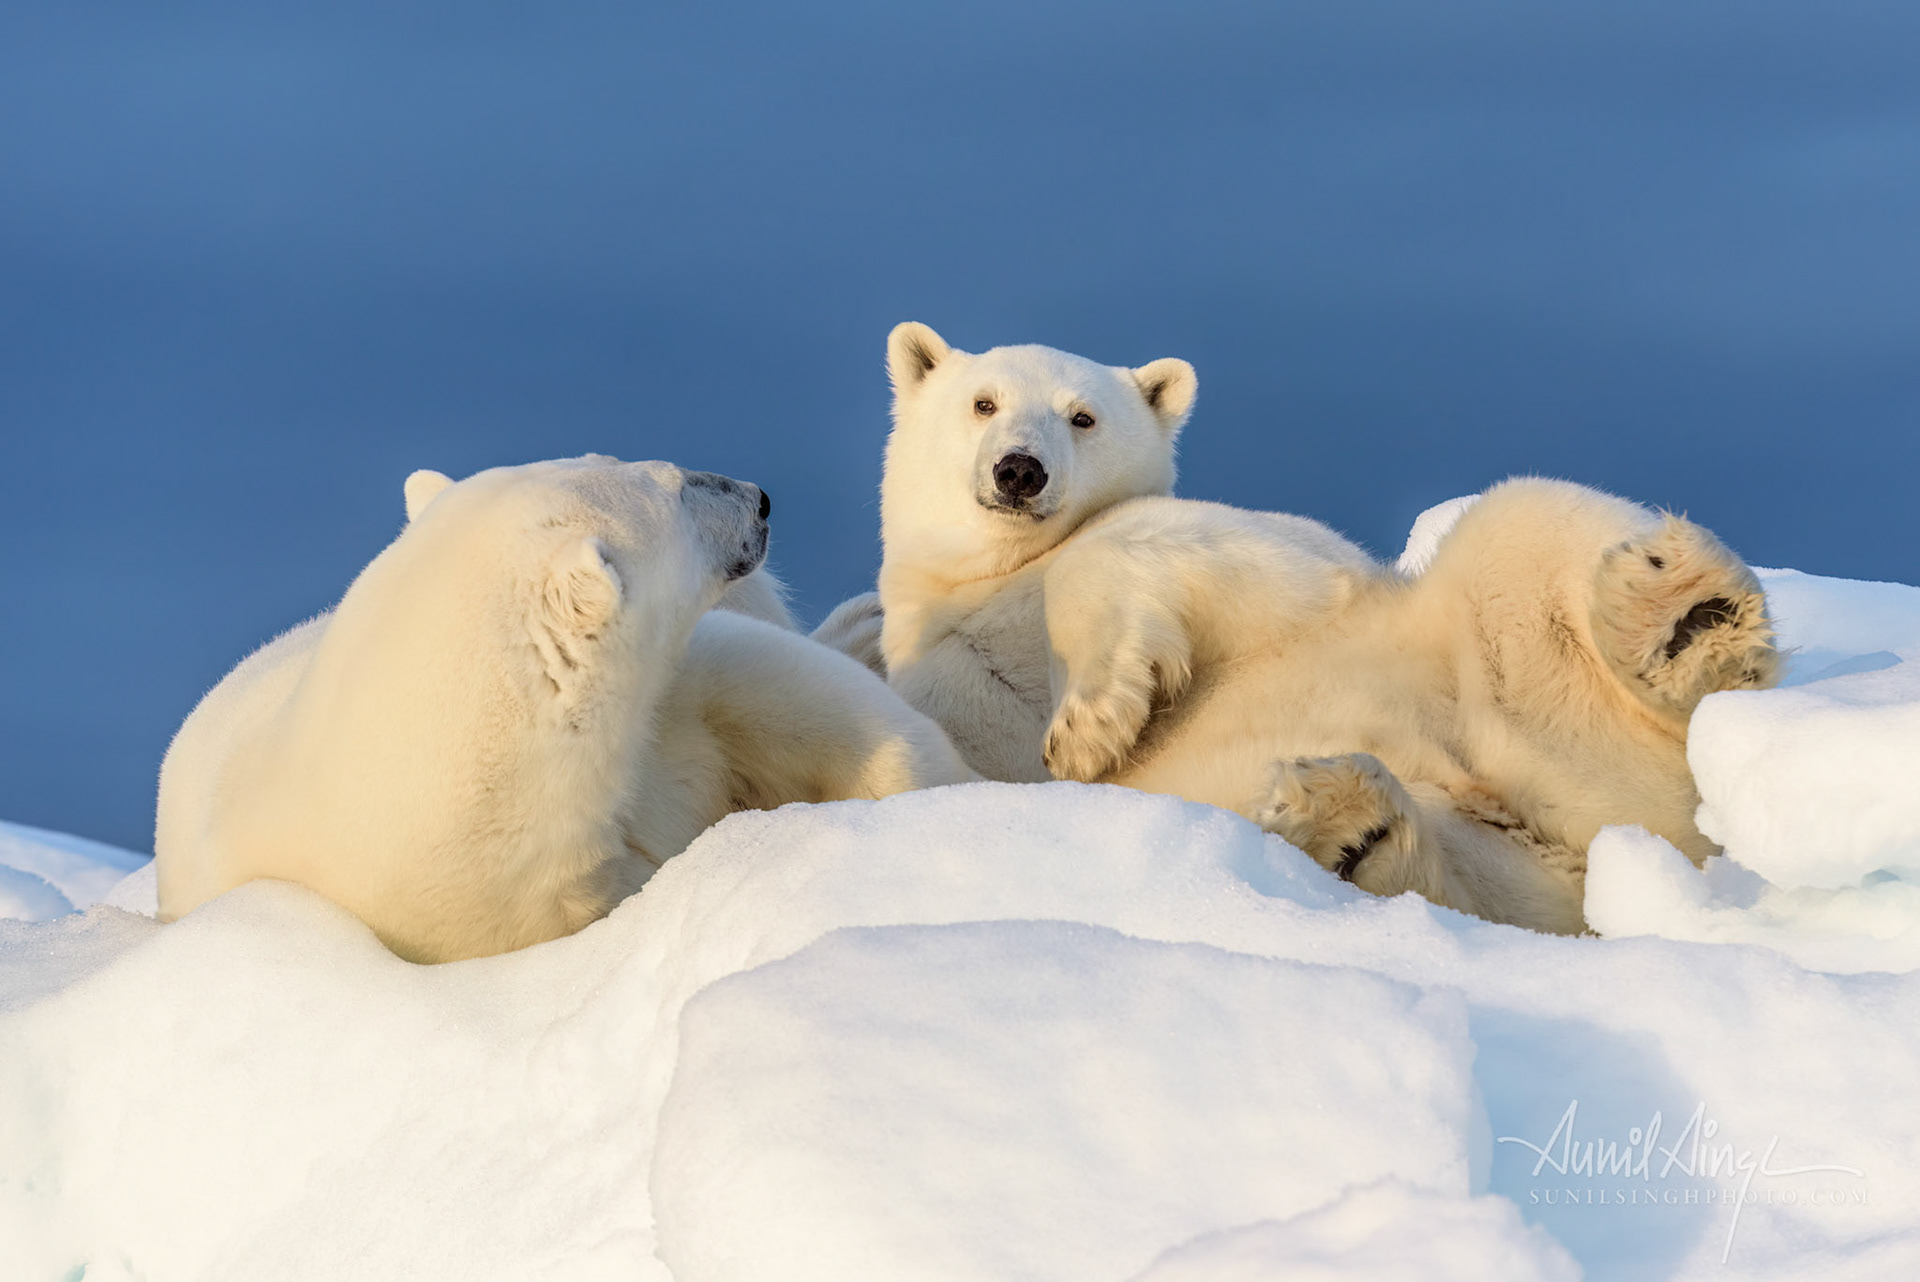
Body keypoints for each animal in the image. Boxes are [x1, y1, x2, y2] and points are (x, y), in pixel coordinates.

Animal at [156, 455, 977, 963]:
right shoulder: (501, 907)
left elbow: (782, 693)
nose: (760, 498)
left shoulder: (677, 694)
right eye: (677, 488)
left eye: (647, 464)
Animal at [830, 323, 1777, 932]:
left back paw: (1686, 618)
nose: (1020, 470)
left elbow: (1138, 562)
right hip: (1522, 849)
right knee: (1476, 882)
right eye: (983, 403)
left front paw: (1090, 728)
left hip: (1509, 664)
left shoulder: (1273, 558)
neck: (991, 583)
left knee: (1526, 522)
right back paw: (1346, 827)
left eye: (1082, 415)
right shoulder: (944, 678)